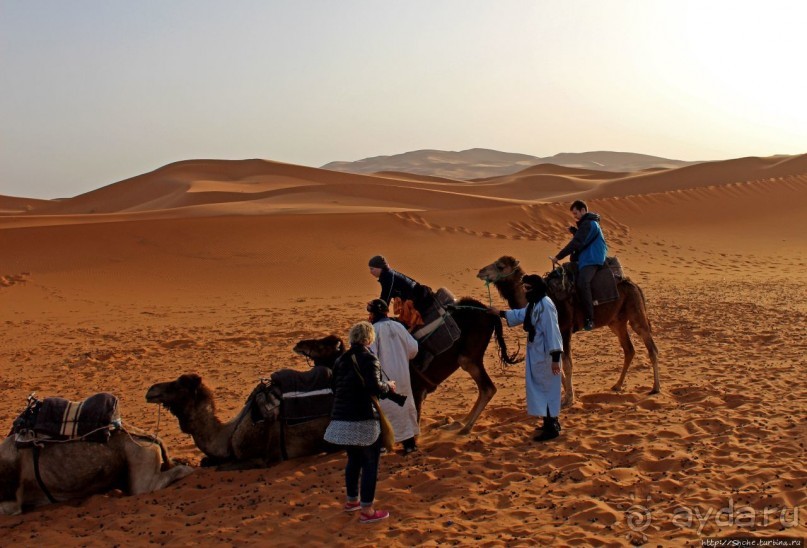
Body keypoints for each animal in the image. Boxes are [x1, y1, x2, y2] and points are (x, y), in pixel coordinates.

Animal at [480, 255, 656, 404]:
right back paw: (617, 385)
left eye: (500, 266)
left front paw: (569, 399)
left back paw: (655, 388)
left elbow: (567, 364)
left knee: (651, 346)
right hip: (616, 322)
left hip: (635, 314)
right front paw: (564, 396)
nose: (481, 272)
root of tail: (633, 284)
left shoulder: (564, 330)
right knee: (629, 349)